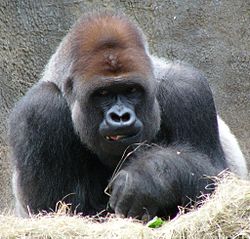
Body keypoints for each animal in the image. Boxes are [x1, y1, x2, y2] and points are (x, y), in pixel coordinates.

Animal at [8, 12, 248, 218]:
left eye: (131, 90)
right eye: (103, 94)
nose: (121, 116)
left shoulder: (187, 89)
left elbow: (216, 179)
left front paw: (147, 178)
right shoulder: (39, 110)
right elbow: (60, 212)